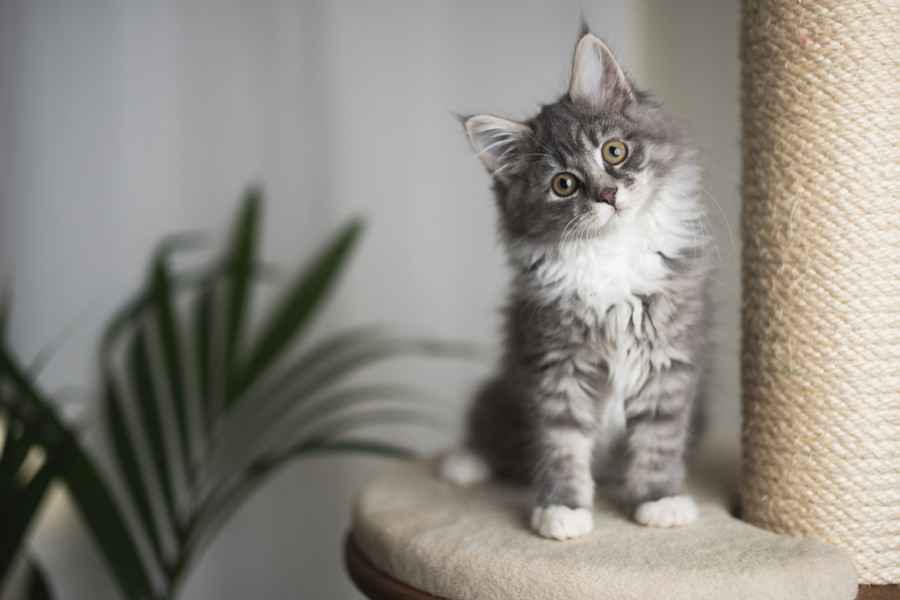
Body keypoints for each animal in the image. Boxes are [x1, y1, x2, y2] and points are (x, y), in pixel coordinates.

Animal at [440, 30, 712, 540]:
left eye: (614, 151)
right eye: (564, 184)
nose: (607, 194)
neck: (610, 254)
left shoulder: (667, 359)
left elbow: (659, 439)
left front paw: (659, 500)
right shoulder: (555, 364)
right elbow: (560, 445)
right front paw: (562, 510)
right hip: (502, 390)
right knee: (491, 435)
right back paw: (463, 463)